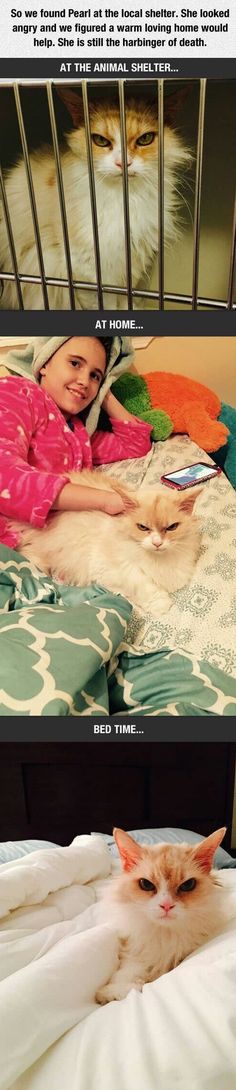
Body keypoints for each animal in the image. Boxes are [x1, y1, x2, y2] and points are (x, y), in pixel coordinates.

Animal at [0, 87, 190, 311]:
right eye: (100, 141)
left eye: (145, 139)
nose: (122, 163)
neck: (125, 201)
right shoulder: (87, 270)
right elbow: (104, 305)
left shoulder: (132, 265)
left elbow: (125, 300)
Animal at [15, 470, 202, 619]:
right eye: (142, 527)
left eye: (172, 527)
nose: (157, 543)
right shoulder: (111, 568)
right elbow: (142, 585)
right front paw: (160, 605)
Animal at [95, 824, 227, 1002]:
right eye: (146, 884)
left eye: (187, 885)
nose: (166, 905)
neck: (165, 936)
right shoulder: (136, 951)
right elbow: (128, 972)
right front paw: (110, 993)